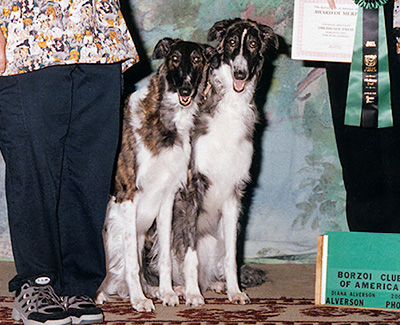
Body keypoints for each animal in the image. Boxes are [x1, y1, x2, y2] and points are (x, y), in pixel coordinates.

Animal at [95, 38, 214, 312]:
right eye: (174, 58)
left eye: (197, 59)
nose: (185, 89)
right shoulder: (127, 196)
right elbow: (131, 263)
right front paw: (139, 300)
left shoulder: (167, 196)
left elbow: (165, 259)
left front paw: (167, 292)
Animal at [153, 18, 278, 306]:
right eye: (231, 42)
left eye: (252, 44)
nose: (240, 74)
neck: (229, 107)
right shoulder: (191, 188)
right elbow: (189, 255)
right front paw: (192, 294)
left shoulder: (234, 192)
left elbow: (231, 254)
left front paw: (235, 291)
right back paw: (172, 289)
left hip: (210, 239)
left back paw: (214, 285)